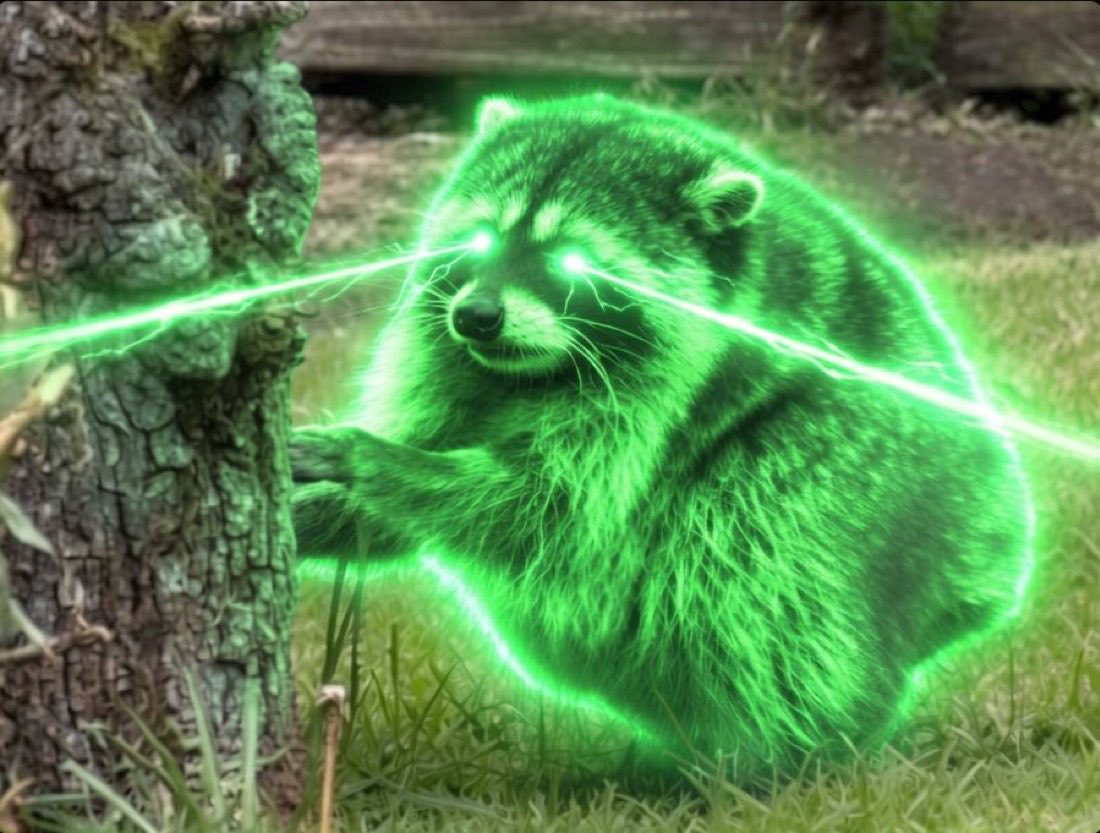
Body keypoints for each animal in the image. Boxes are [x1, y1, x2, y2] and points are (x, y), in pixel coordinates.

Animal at [292, 94, 1032, 779]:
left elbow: (546, 509)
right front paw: (319, 509)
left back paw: (787, 751)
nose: (476, 316)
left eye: (569, 261)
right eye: (479, 242)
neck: (527, 376)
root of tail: (990, 562)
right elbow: (398, 516)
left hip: (865, 474)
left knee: (750, 551)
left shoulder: (657, 397)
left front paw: (376, 458)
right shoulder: (449, 363)